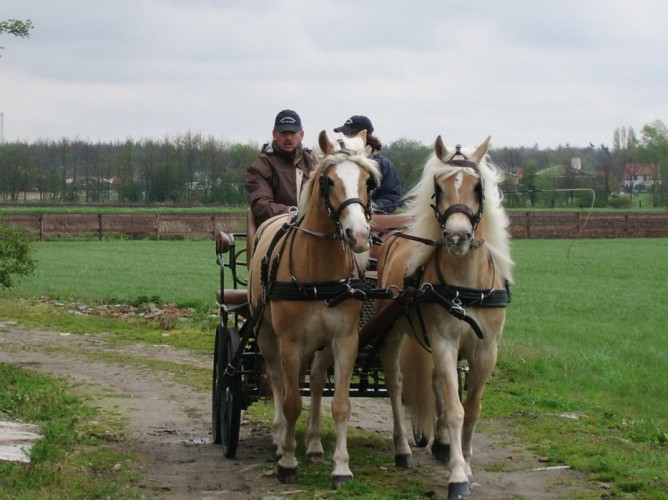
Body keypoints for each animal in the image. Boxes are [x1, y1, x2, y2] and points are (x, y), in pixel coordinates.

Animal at [248, 129, 380, 488]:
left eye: (367, 181)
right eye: (329, 181)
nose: (358, 234)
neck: (319, 269)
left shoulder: (345, 340)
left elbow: (341, 404)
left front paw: (341, 466)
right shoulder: (289, 342)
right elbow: (292, 401)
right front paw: (288, 461)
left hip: (320, 345)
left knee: (318, 381)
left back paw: (314, 444)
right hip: (267, 336)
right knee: (277, 380)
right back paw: (280, 440)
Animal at [374, 135, 516, 498]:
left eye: (478, 186)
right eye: (438, 187)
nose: (456, 237)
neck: (465, 284)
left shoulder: (486, 351)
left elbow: (473, 409)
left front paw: (463, 457)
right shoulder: (444, 343)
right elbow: (454, 409)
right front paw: (458, 476)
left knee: (436, 382)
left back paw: (440, 445)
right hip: (393, 334)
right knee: (396, 386)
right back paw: (403, 450)